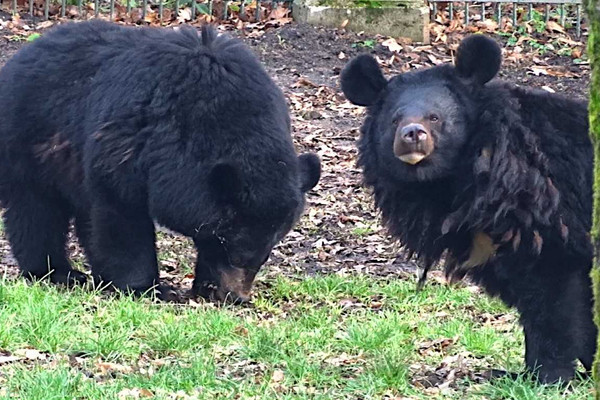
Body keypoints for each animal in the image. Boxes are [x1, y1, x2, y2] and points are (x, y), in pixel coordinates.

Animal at [342, 35, 596, 384]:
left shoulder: (548, 215)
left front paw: (548, 375)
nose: (412, 135)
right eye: (394, 120)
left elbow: (554, 296)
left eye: (435, 117)